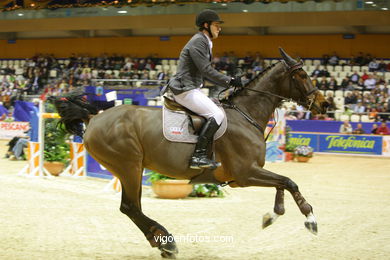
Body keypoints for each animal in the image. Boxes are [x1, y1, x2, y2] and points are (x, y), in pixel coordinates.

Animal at [50, 48, 328, 258]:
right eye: (302, 74)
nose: (325, 104)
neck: (246, 115)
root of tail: (94, 117)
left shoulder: (248, 174)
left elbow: (282, 184)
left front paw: (272, 215)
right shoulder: (245, 174)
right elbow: (289, 182)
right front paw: (310, 219)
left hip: (131, 169)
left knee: (132, 207)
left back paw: (162, 242)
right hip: (129, 167)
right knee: (130, 207)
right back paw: (166, 241)